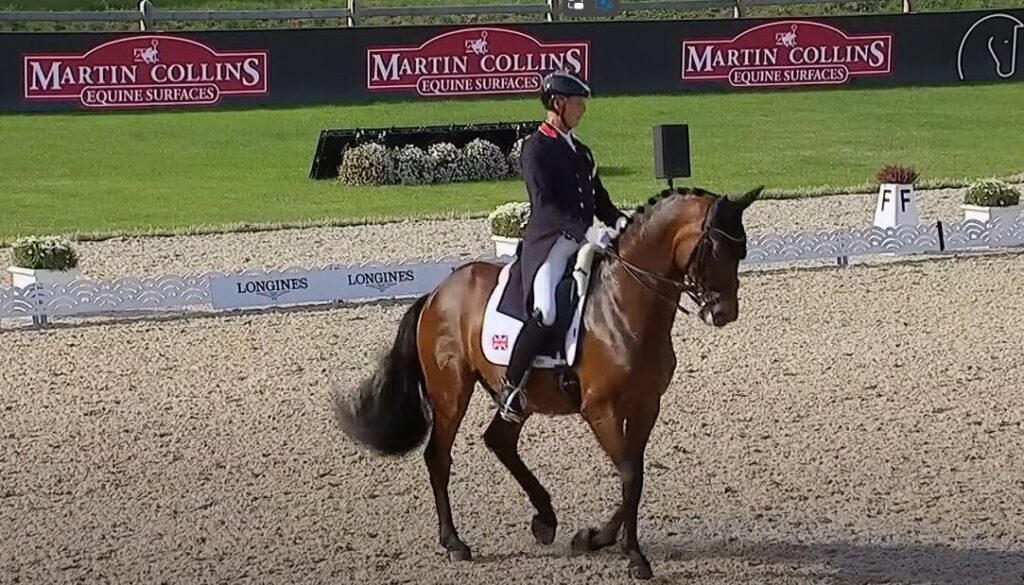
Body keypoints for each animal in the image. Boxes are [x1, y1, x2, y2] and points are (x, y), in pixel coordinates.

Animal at [331, 185, 765, 577]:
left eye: (741, 252)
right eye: (714, 248)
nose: (724, 313)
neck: (625, 306)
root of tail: (437, 293)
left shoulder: (646, 406)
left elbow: (636, 475)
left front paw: (597, 540)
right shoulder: (600, 409)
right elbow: (629, 473)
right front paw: (628, 554)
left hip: (520, 396)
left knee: (499, 440)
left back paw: (545, 519)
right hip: (451, 392)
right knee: (439, 456)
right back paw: (454, 542)